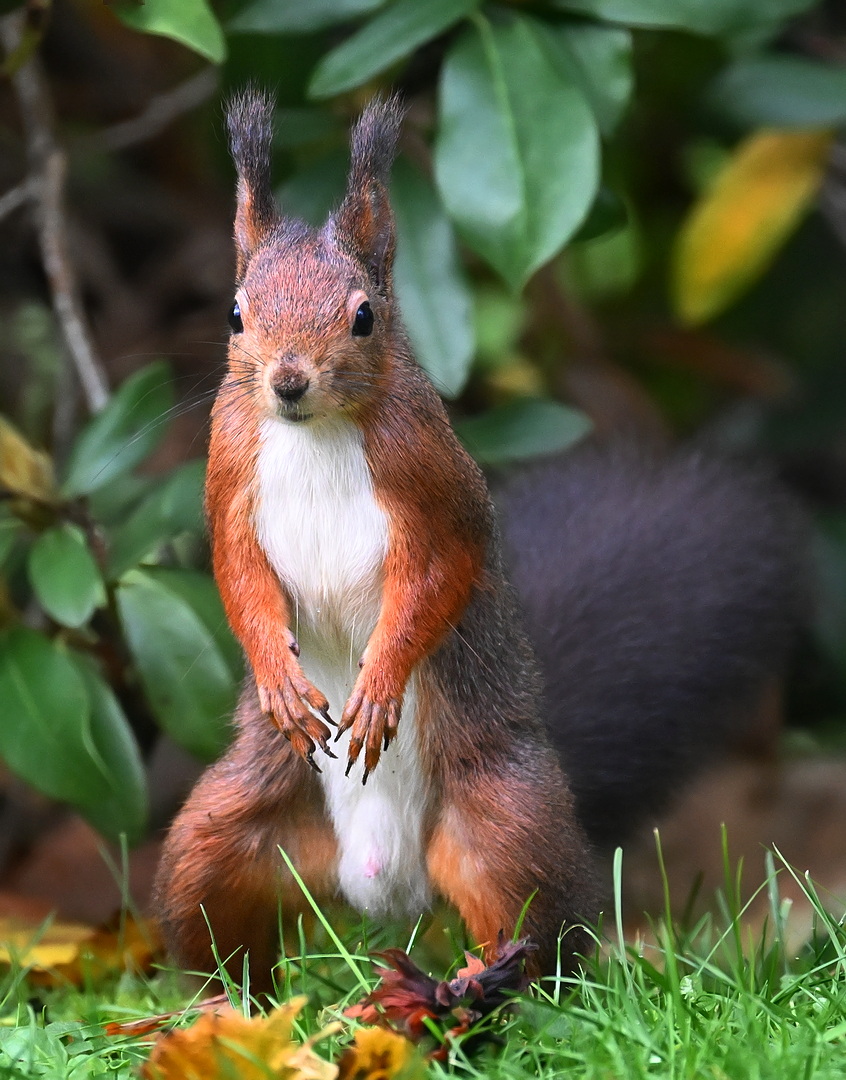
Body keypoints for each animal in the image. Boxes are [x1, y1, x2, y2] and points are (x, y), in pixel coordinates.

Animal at [155, 92, 812, 989]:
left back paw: (478, 988)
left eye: (364, 317)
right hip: (229, 824)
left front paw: (379, 686)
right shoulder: (228, 473)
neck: (314, 431)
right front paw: (279, 678)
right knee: (216, 917)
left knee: (544, 932)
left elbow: (440, 574)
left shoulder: (432, 480)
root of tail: (383, 882)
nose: (287, 381)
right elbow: (238, 574)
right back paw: (218, 1006)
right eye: (235, 314)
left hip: (501, 815)